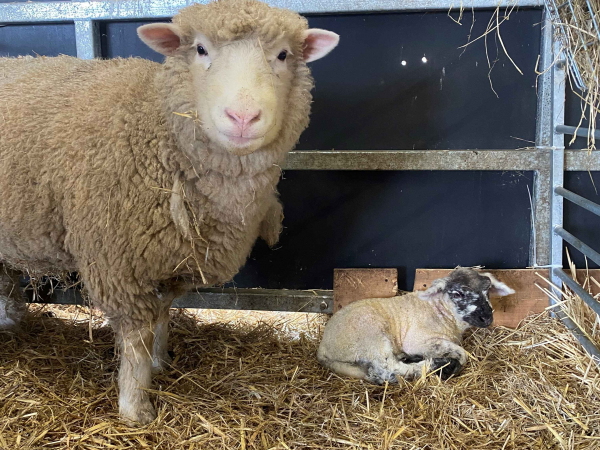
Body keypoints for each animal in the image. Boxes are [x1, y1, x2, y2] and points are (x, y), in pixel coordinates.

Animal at [0, 0, 340, 424]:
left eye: (282, 55)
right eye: (200, 50)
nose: (243, 118)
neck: (157, 128)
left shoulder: (170, 261)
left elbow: (161, 316)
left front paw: (160, 364)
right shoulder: (118, 263)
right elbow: (136, 336)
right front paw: (135, 407)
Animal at [316, 268, 512, 384]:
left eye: (487, 291)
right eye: (457, 293)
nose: (487, 318)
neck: (440, 311)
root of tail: (323, 348)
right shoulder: (418, 341)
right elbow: (462, 354)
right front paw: (451, 364)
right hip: (370, 337)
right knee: (388, 368)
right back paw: (438, 366)